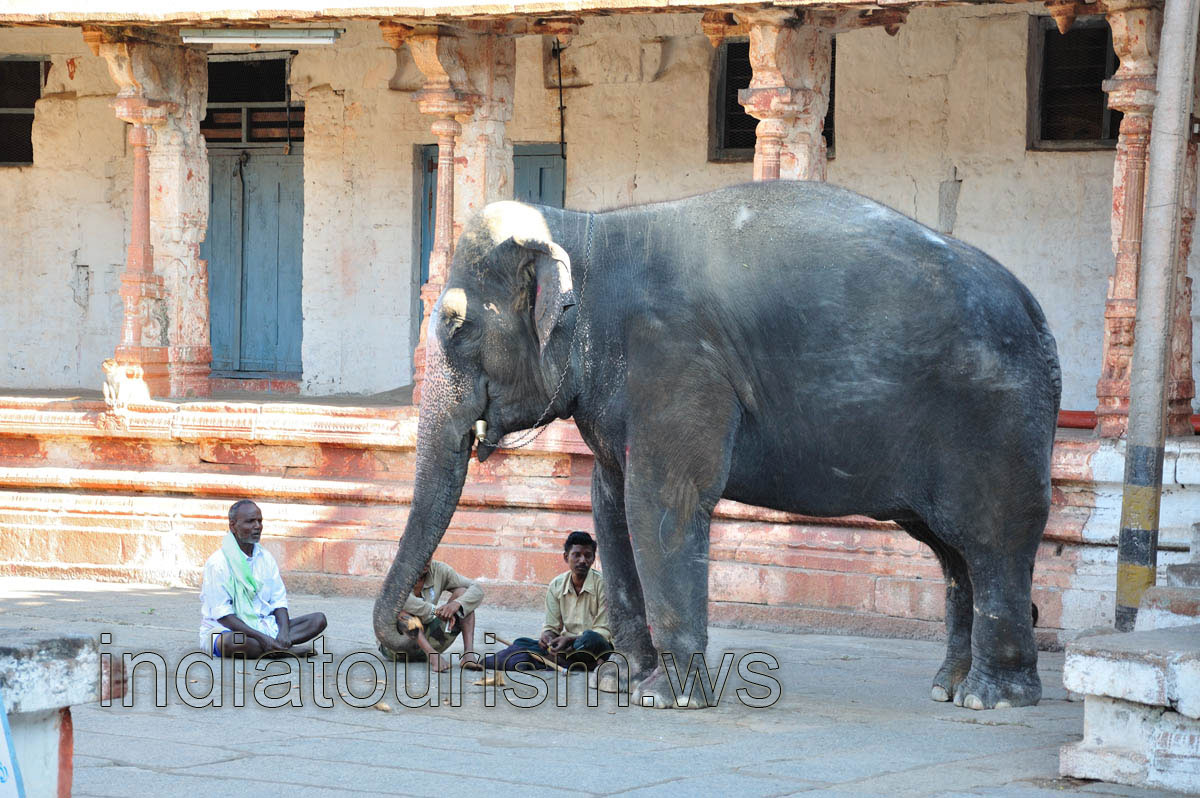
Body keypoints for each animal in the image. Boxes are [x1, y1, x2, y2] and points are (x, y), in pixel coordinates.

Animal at [373, 180, 1061, 711]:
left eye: (456, 326)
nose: (417, 629)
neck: (586, 228)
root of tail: (1038, 312)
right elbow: (610, 505)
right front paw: (624, 683)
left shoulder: (677, 365)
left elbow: (662, 504)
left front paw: (667, 698)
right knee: (952, 552)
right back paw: (949, 687)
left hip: (997, 420)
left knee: (992, 540)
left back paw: (992, 698)